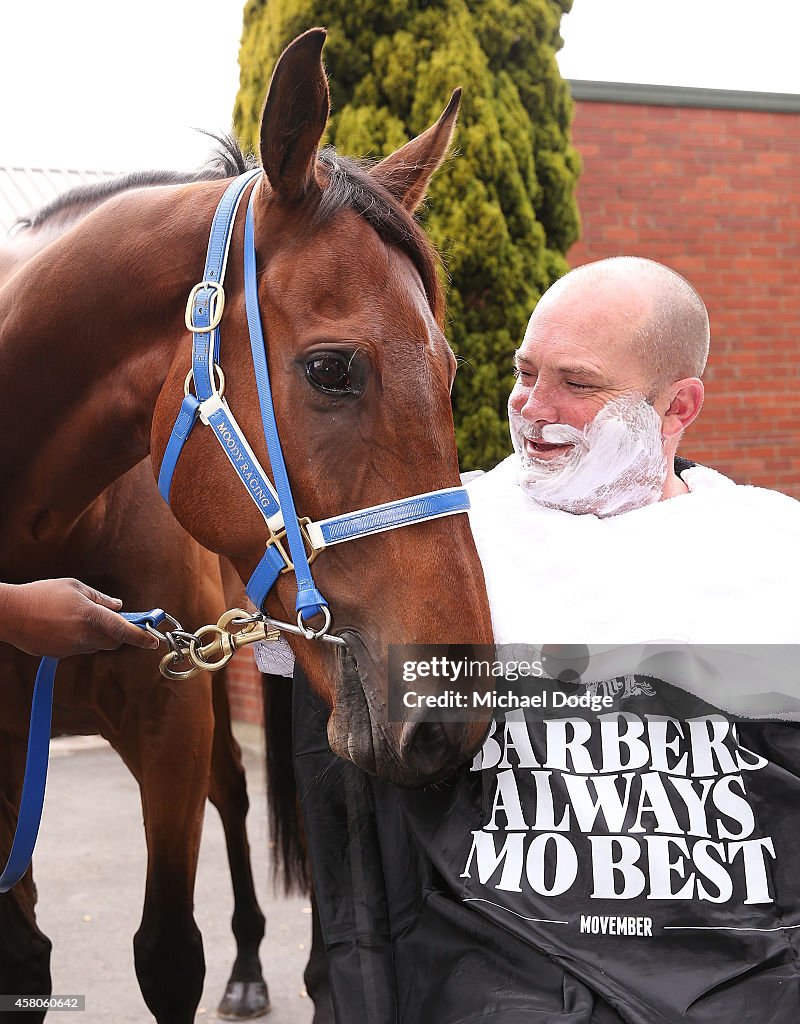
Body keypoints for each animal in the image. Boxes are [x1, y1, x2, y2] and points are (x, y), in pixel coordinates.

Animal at [0, 24, 493, 1024]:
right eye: (334, 370)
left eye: (452, 370)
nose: (455, 710)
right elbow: (25, 954)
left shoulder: (172, 714)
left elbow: (167, 954)